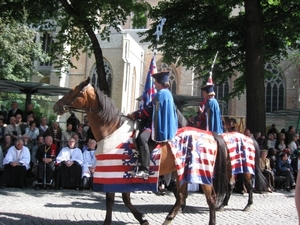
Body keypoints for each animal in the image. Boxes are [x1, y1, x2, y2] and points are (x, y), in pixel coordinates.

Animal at [53, 77, 227, 225]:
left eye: (75, 90)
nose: (57, 106)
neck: (111, 129)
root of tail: (210, 134)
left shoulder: (116, 173)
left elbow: (116, 199)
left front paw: (137, 219)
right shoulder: (115, 174)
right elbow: (118, 199)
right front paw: (142, 219)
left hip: (201, 172)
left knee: (210, 198)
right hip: (181, 173)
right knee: (181, 198)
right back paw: (168, 219)